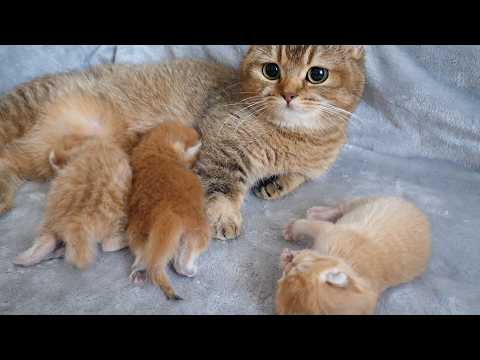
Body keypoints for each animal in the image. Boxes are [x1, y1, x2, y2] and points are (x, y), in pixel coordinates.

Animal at [0, 45, 366, 242]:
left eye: (317, 74)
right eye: (271, 70)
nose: (288, 94)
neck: (294, 136)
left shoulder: (312, 164)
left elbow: (300, 175)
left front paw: (277, 183)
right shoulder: (221, 145)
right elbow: (222, 188)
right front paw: (223, 218)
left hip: (43, 154)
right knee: (6, 156)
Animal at [15, 138, 131, 270]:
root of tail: (73, 222)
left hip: (49, 217)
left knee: (46, 240)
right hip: (117, 216)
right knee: (107, 245)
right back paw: (126, 239)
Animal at [127, 122, 210, 300]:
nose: (194, 165)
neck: (157, 154)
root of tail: (165, 212)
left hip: (137, 230)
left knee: (144, 253)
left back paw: (139, 270)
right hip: (198, 231)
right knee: (183, 260)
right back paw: (188, 269)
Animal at [278, 197, 432, 316]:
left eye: (298, 268)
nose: (291, 262)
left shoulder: (330, 232)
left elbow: (305, 224)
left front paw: (290, 237)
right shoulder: (331, 232)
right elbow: (306, 225)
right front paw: (290, 241)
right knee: (342, 208)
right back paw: (317, 212)